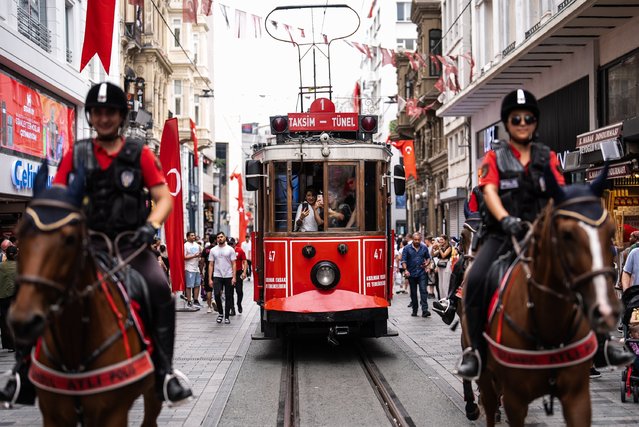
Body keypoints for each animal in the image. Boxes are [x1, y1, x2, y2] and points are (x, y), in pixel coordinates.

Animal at [7, 172, 162, 426]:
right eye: (20, 234)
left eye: (70, 239)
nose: (23, 320)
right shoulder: (52, 414)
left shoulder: (113, 413)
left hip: (152, 392)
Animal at [470, 172, 620, 426]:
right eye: (567, 235)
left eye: (611, 232)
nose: (606, 310)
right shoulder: (515, 400)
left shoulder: (578, 397)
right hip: (485, 374)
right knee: (489, 405)